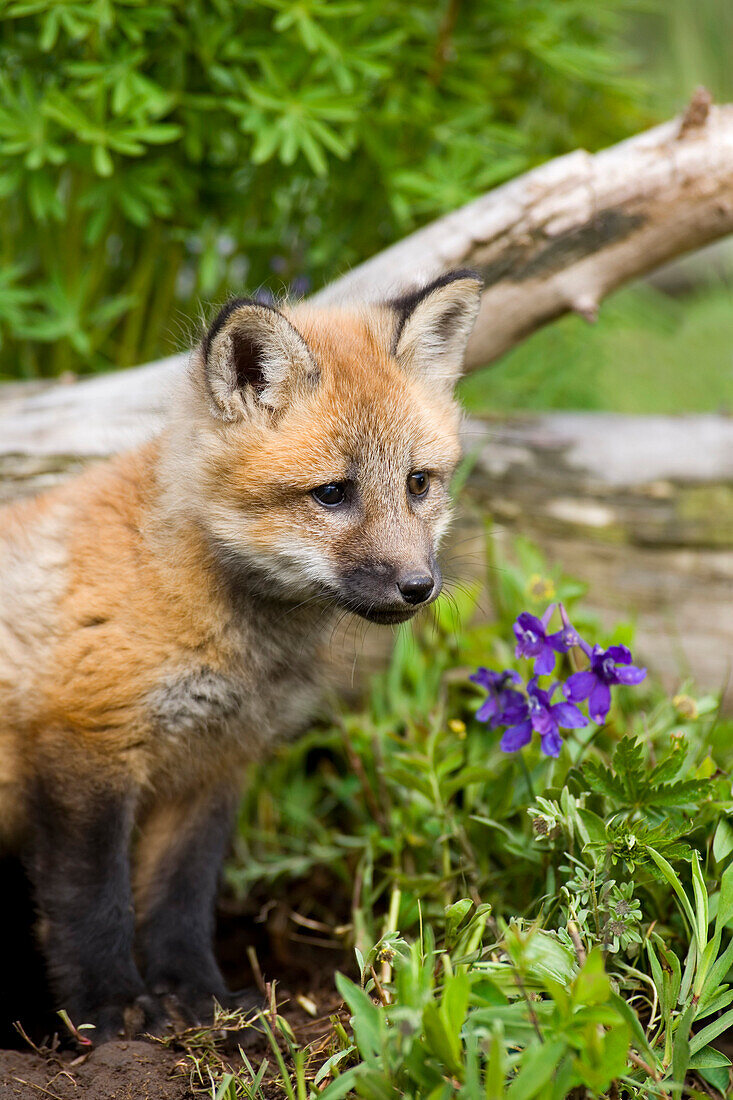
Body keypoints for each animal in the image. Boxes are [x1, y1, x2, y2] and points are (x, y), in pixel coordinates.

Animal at [0, 266, 482, 1038]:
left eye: (418, 484)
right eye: (332, 493)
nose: (418, 587)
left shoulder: (214, 766)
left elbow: (179, 902)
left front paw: (200, 999)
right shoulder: (84, 743)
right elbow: (91, 902)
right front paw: (108, 1010)